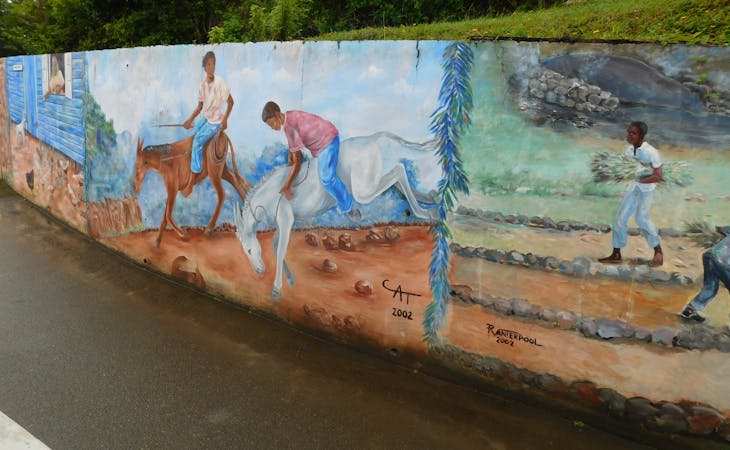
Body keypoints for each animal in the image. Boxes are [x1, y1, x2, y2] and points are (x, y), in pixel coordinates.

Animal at [235, 131, 438, 298]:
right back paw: (430, 199)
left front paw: (276, 289)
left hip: (363, 191)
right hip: (370, 183)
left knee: (399, 170)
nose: (259, 271)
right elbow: (276, 246)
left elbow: (279, 250)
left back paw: (426, 213)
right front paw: (290, 280)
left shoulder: (286, 220)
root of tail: (370, 138)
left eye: (249, 250)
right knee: (396, 180)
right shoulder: (281, 224)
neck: (273, 192)